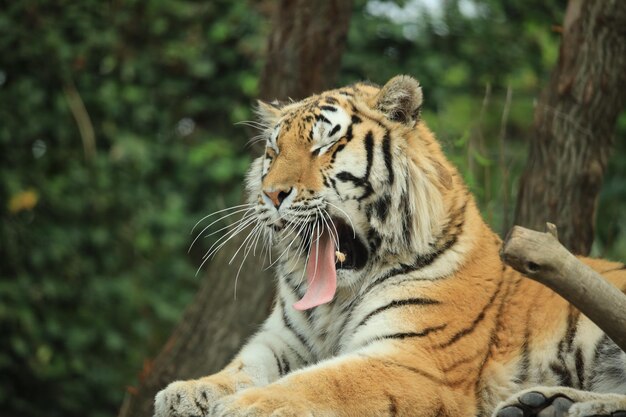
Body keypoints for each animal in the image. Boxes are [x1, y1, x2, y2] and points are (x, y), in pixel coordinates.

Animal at [154, 75, 624, 416]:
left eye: (324, 145)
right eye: (273, 151)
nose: (271, 194)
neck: (335, 303)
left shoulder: (413, 357)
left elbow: (324, 382)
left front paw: (245, 406)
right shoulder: (282, 341)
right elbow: (240, 366)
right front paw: (186, 392)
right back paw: (545, 403)